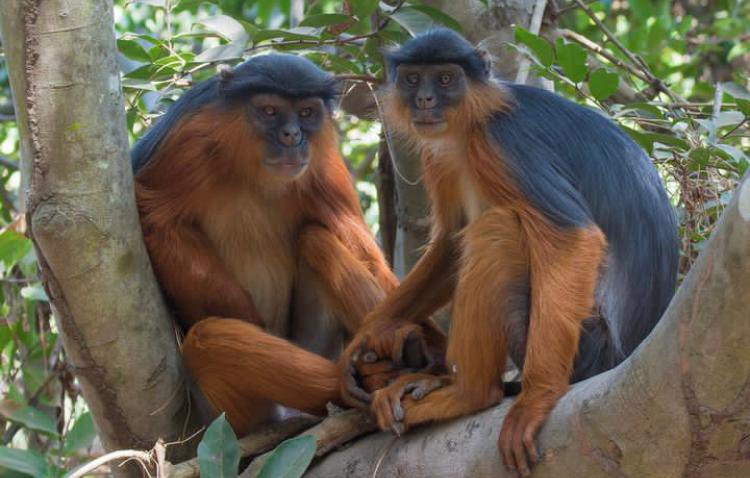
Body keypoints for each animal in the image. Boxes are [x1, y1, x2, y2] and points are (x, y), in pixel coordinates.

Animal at [131, 53, 444, 437]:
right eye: (269, 111)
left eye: (306, 113)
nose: (292, 135)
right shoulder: (187, 140)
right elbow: (156, 220)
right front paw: (247, 317)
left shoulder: (321, 159)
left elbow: (361, 249)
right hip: (229, 417)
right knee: (207, 337)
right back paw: (348, 383)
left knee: (316, 239)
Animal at [338, 29, 679, 475]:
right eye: (413, 79)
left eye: (445, 79)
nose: (425, 100)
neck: (472, 124)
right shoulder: (440, 154)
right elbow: (451, 244)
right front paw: (371, 332)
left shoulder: (506, 143)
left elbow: (573, 237)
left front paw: (537, 397)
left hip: (585, 348)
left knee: (497, 231)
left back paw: (470, 393)